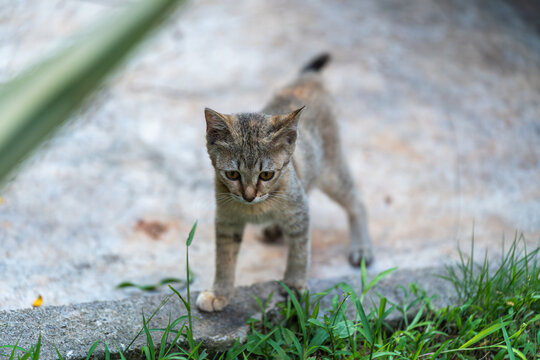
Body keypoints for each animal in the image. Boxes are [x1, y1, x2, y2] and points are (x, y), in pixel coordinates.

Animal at [196, 54, 374, 312]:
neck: (256, 208)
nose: (249, 195)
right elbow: (224, 259)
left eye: (266, 175)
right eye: (232, 175)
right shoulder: (227, 219)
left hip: (331, 172)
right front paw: (219, 292)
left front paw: (295, 285)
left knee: (357, 203)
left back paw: (361, 247)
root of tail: (307, 80)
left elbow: (300, 251)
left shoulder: (299, 210)